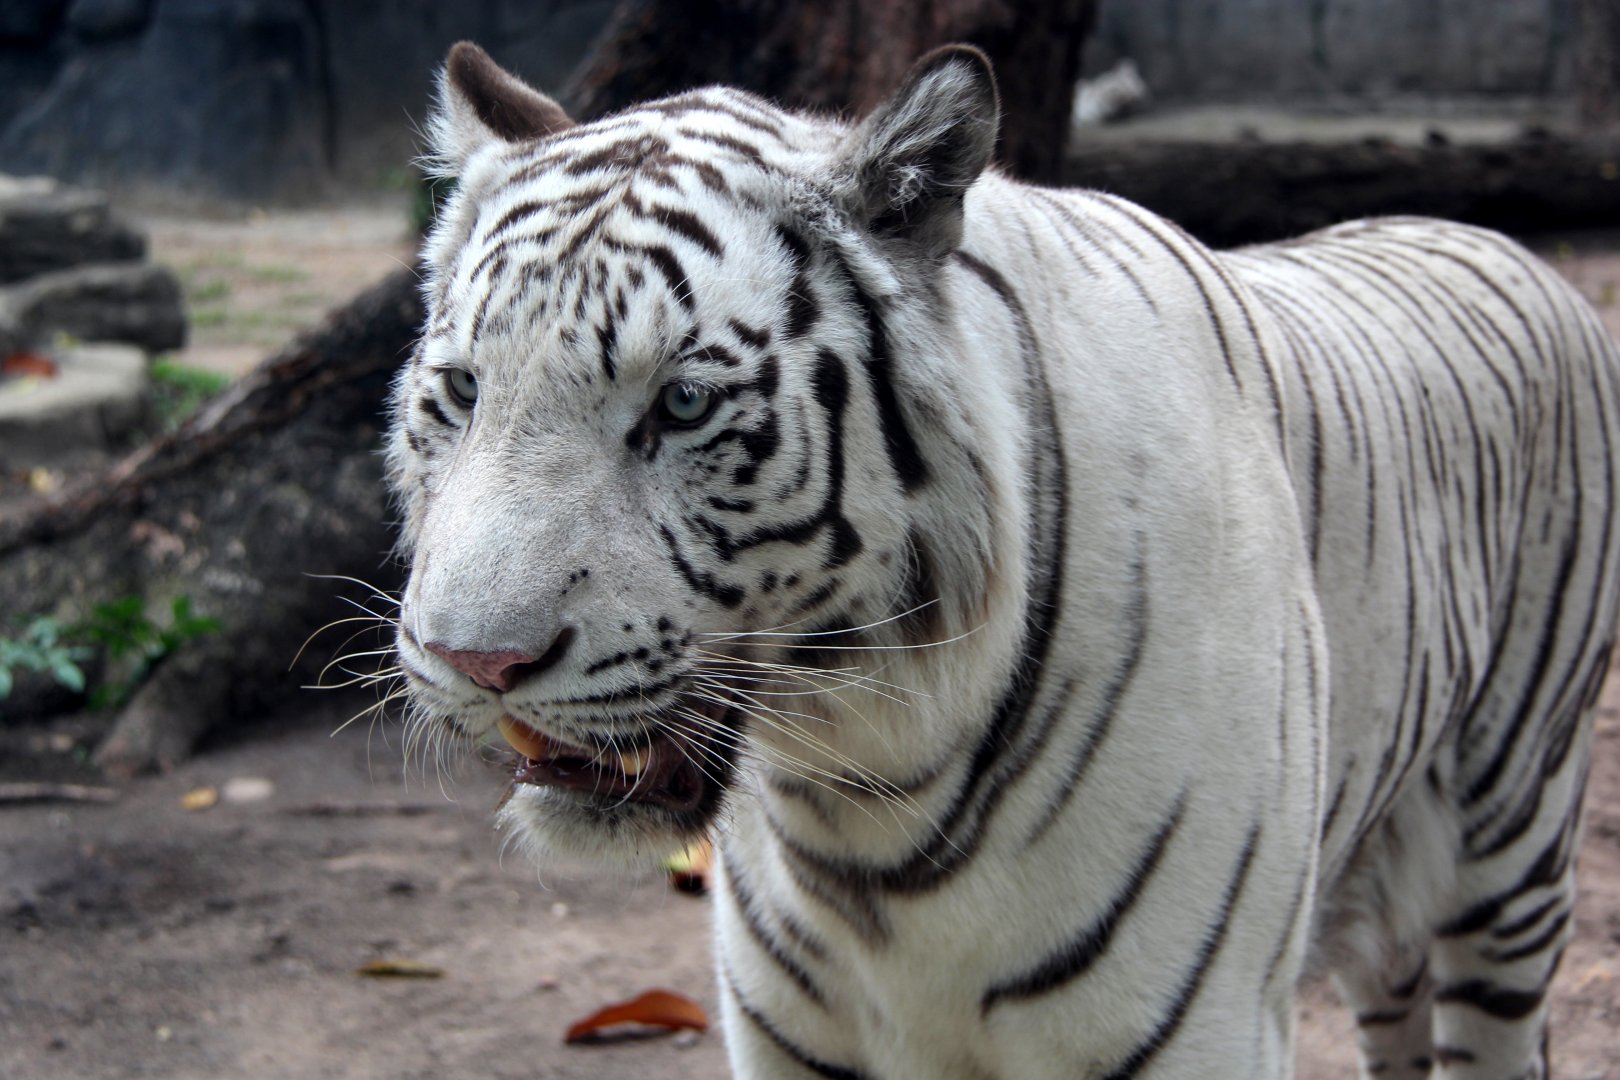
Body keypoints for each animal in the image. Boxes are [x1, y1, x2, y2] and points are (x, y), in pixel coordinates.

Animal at [384, 40, 1620, 1080]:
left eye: (682, 404)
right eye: (464, 391)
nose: (477, 662)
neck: (861, 790)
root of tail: (1483, 234)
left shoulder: (1197, 1031)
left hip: (1513, 855)